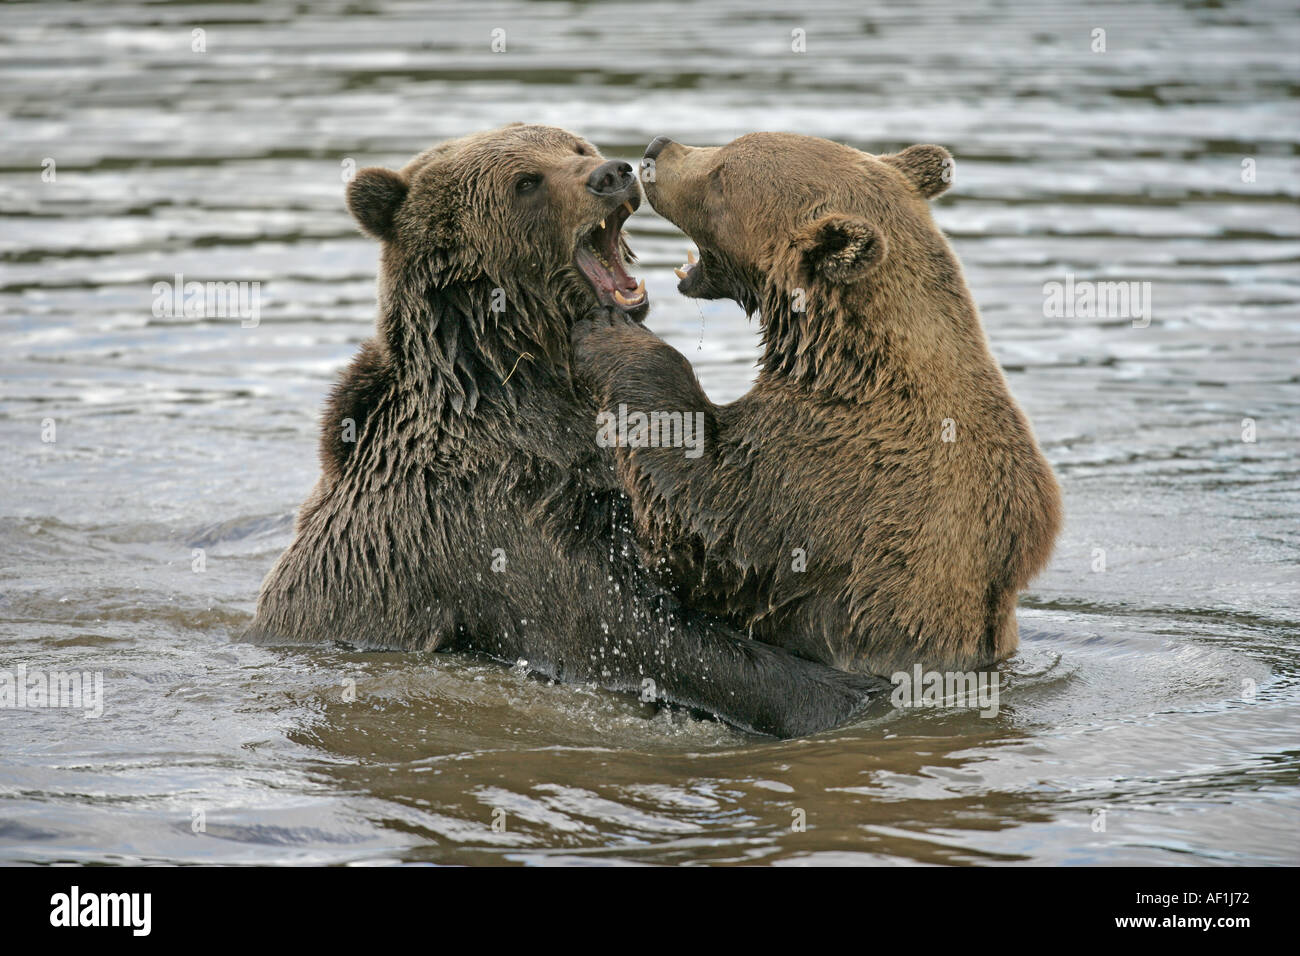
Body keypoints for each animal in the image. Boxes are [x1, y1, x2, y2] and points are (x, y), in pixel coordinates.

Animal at [244, 124, 883, 738]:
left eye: (574, 146)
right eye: (526, 182)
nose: (613, 172)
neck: (518, 377)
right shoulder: (494, 515)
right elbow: (630, 627)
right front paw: (841, 692)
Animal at [570, 131, 1062, 678]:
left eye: (722, 175)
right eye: (732, 143)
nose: (657, 148)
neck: (835, 359)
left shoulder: (827, 470)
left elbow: (707, 521)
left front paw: (612, 334)